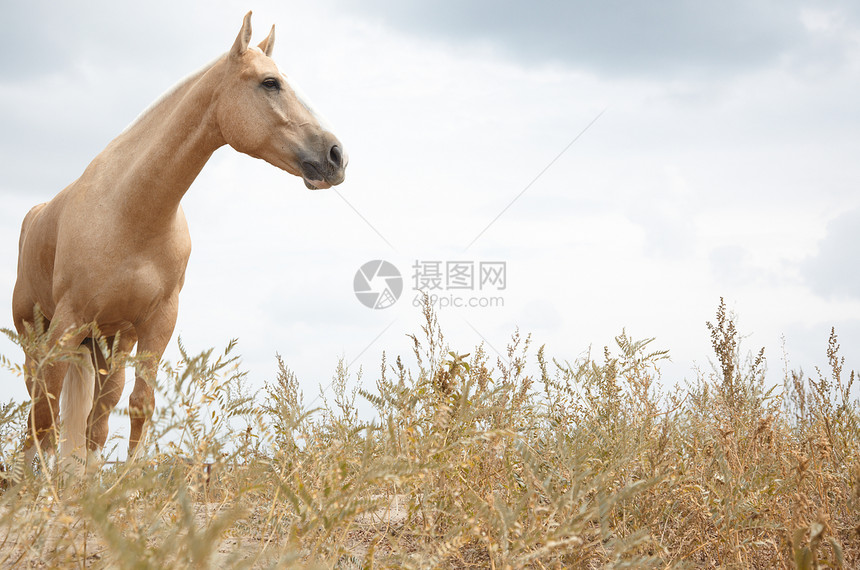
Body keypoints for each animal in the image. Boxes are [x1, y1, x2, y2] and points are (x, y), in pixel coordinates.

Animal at [10, 12, 346, 470]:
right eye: (270, 82)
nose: (336, 155)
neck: (131, 212)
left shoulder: (156, 323)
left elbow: (138, 405)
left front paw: (125, 484)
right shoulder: (68, 321)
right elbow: (46, 415)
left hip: (107, 344)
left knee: (96, 416)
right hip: (38, 338)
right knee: (38, 411)